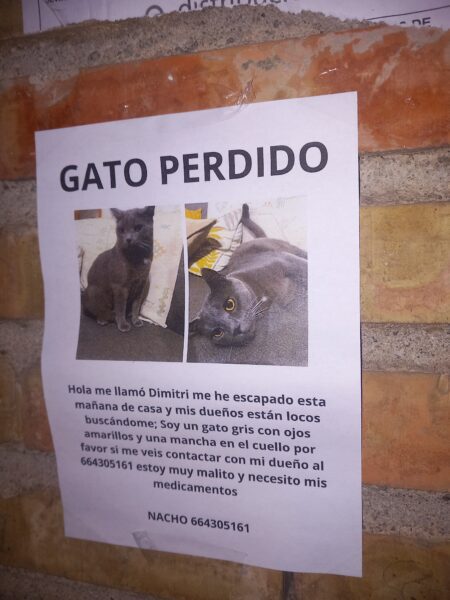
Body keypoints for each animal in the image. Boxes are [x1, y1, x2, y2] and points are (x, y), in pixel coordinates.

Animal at [189, 204, 307, 346]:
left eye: (229, 304)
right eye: (217, 333)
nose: (236, 328)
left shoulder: (284, 260)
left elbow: (303, 268)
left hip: (287, 248)